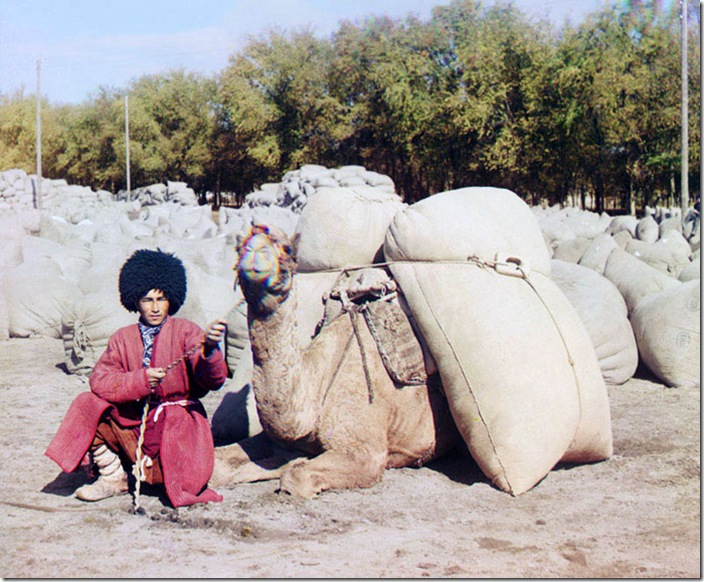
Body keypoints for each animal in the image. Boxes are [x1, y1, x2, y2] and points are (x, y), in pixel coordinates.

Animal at [210, 224, 460, 498]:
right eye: (240, 246)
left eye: (287, 250)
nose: (255, 251)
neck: (318, 383)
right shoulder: (274, 439)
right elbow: (219, 464)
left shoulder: (365, 452)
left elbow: (295, 476)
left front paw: (291, 466)